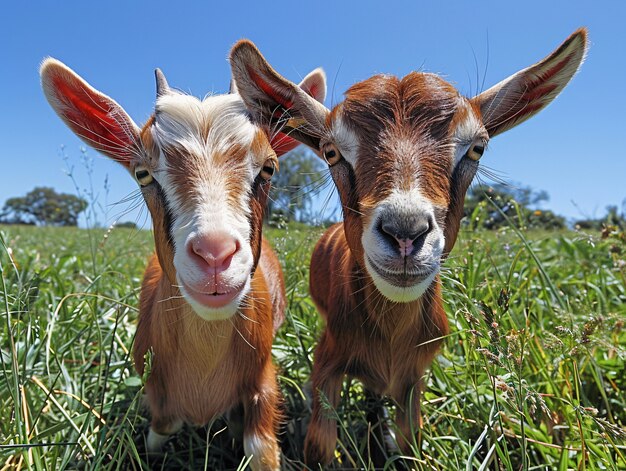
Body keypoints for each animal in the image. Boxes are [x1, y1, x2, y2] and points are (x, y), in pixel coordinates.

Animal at [40, 54, 326, 468]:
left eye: (269, 167)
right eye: (142, 172)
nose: (215, 254)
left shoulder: (263, 380)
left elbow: (259, 448)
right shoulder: (153, 388)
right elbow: (161, 430)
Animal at [229, 30, 584, 468]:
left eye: (477, 148)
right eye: (331, 152)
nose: (405, 232)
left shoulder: (415, 375)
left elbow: (412, 440)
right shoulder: (327, 359)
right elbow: (320, 445)